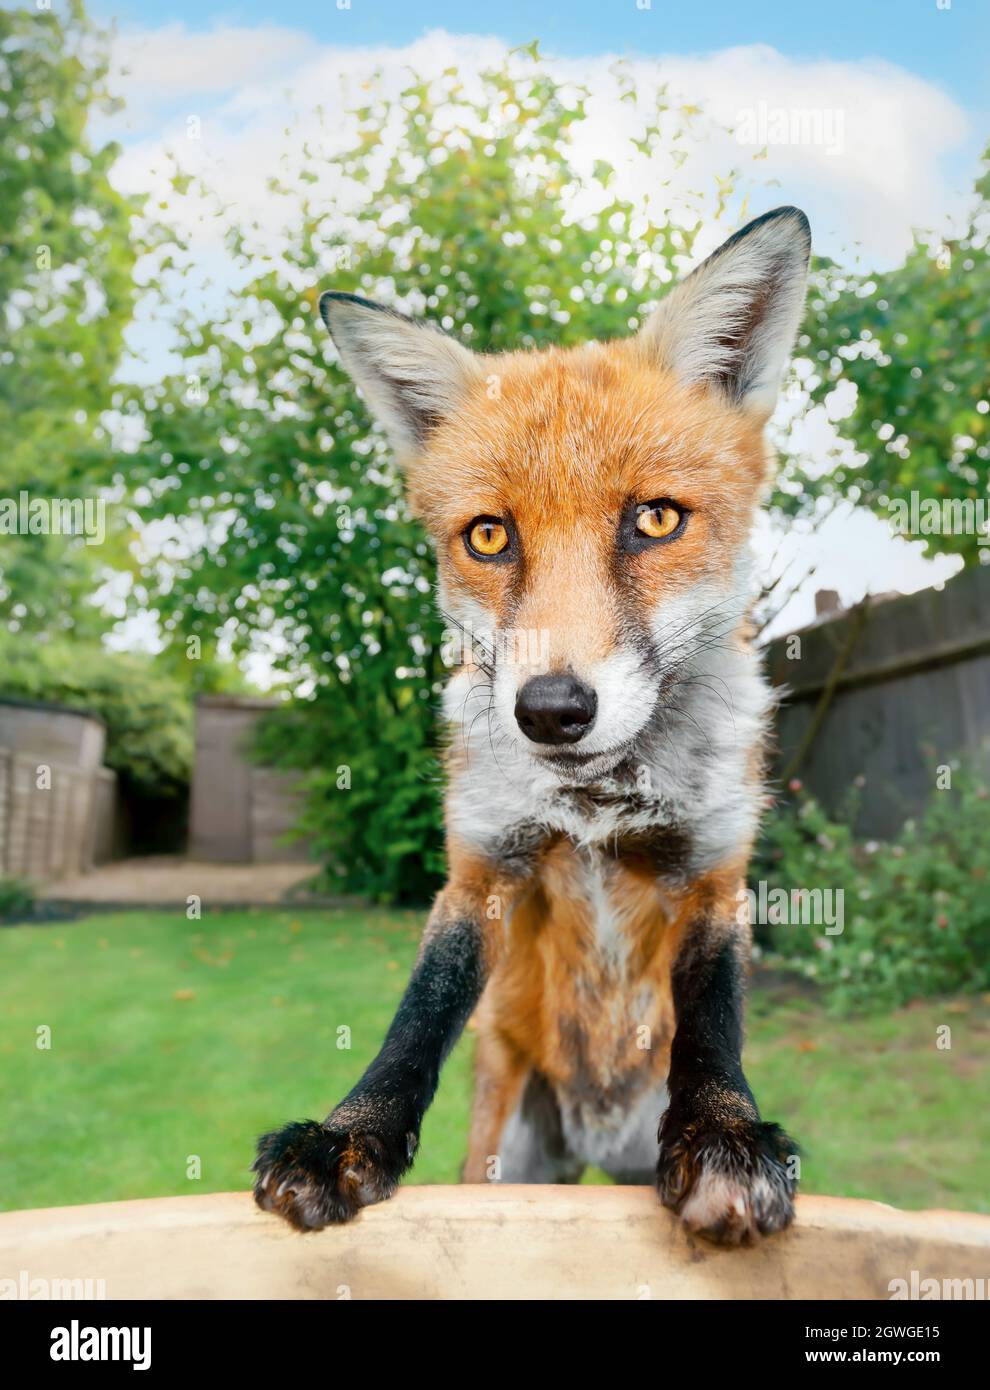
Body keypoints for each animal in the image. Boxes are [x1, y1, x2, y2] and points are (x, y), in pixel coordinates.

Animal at [254, 206, 811, 1245]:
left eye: (656, 520)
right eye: (488, 535)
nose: (551, 709)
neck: (596, 804)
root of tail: (593, 1142)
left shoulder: (714, 873)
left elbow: (713, 1026)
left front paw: (725, 1136)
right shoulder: (484, 869)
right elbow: (416, 1014)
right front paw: (349, 1135)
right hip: (501, 1159)